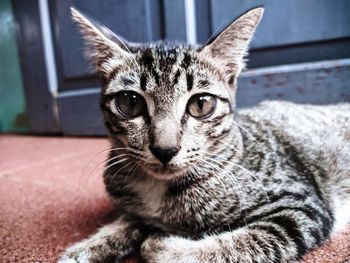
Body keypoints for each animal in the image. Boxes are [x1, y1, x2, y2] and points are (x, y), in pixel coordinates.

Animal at [59, 7, 350, 262]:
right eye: (130, 103)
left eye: (201, 105)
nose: (165, 149)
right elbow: (128, 219)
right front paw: (91, 245)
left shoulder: (299, 207)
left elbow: (247, 242)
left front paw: (164, 245)